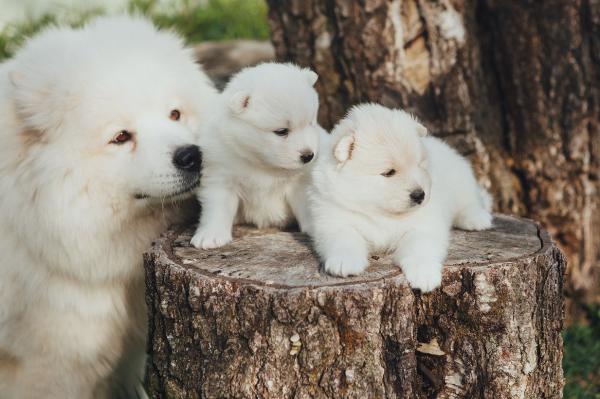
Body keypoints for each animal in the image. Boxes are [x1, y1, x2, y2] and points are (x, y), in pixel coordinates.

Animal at [191, 62, 324, 250]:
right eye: (281, 131)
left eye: (311, 123)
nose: (308, 156)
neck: (262, 163)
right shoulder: (220, 176)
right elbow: (217, 208)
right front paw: (211, 235)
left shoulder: (301, 182)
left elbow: (307, 205)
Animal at [310, 101, 492, 292]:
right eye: (389, 172)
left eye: (419, 165)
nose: (420, 195)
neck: (381, 212)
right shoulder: (332, 219)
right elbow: (343, 238)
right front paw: (344, 262)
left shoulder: (424, 225)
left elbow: (420, 246)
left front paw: (424, 275)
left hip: (461, 180)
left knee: (471, 200)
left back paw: (477, 218)